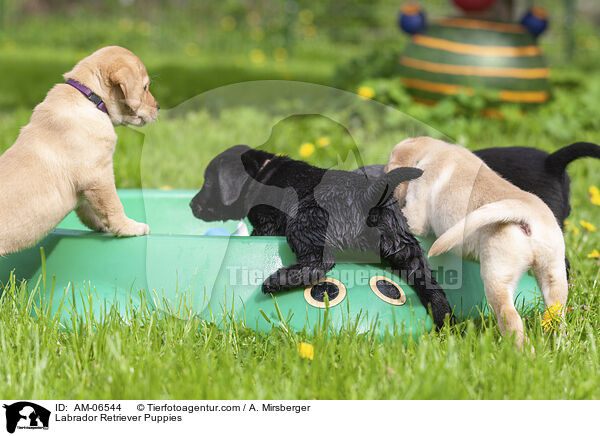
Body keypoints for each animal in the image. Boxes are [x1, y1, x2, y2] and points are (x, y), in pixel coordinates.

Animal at [0, 45, 159, 255]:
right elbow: (113, 206)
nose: (158, 106)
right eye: (145, 87)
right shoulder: (99, 176)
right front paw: (129, 227)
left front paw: (102, 225)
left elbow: (89, 209)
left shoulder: (86, 185)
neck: (89, 98)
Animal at [191, 146, 450, 328]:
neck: (261, 172)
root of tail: (368, 195)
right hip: (404, 244)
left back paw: (278, 280)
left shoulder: (267, 221)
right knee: (428, 282)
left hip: (305, 220)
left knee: (319, 262)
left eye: (209, 181)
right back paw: (446, 322)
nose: (192, 204)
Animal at [384, 136, 568, 348]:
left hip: (497, 276)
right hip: (554, 274)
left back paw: (519, 350)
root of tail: (526, 213)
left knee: (510, 318)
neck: (433, 150)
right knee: (556, 314)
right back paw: (560, 344)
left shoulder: (417, 211)